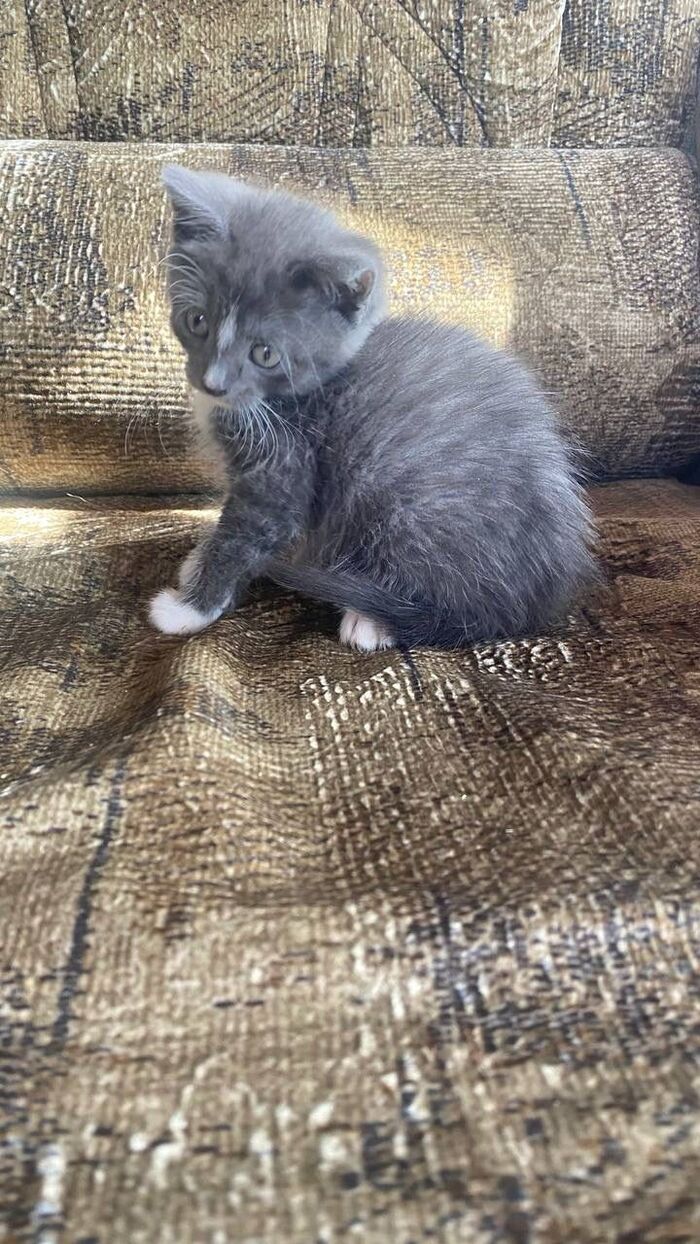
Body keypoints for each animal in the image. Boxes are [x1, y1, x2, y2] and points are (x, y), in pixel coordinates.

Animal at [150, 165, 596, 651]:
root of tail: (534, 601)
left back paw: (371, 618)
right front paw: (198, 562)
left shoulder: (285, 464)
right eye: (197, 321)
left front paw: (188, 609)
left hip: (402, 491)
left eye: (264, 354)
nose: (211, 382)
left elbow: (246, 535)